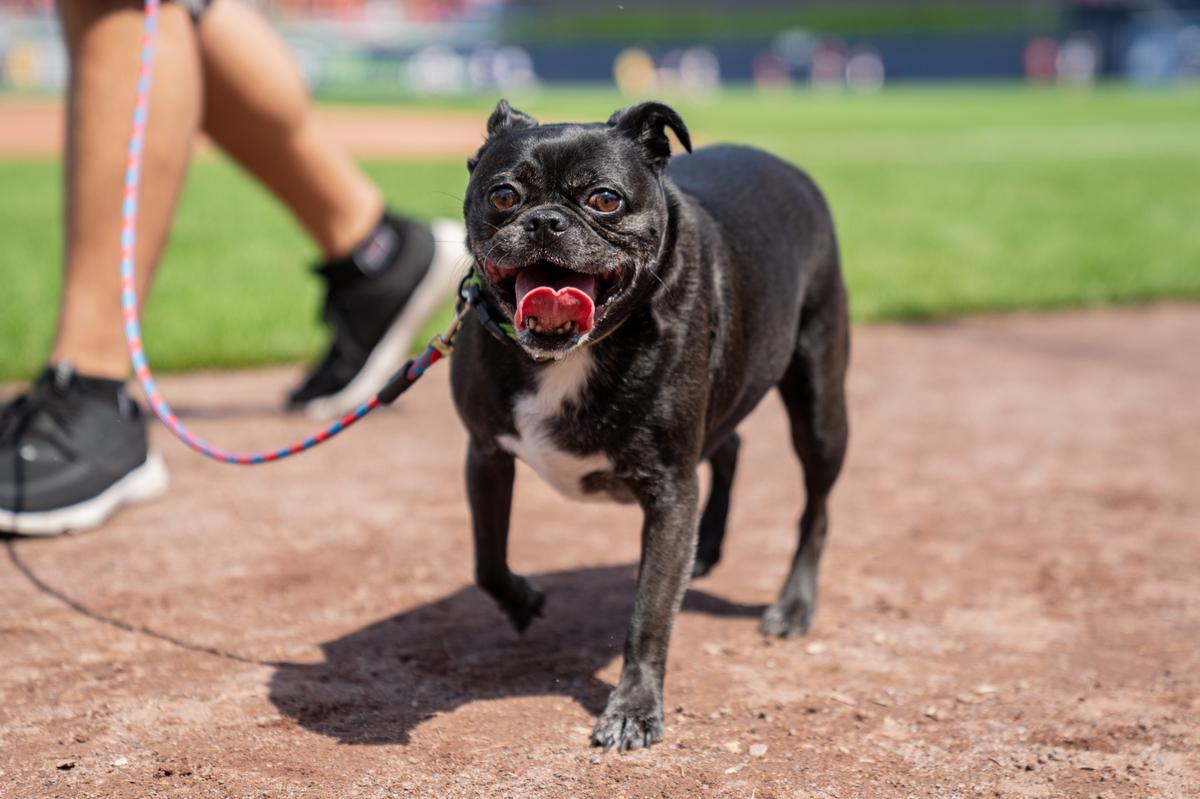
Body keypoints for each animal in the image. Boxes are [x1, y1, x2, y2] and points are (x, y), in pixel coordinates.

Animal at [451, 97, 854, 748]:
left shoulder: (669, 491)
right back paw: (709, 545)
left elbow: (650, 610)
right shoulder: (485, 453)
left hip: (820, 411)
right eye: (504, 195)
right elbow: (487, 559)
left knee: (814, 510)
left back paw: (793, 605)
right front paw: (519, 602)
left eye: (605, 200)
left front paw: (634, 708)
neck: (574, 354)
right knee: (730, 446)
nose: (545, 222)